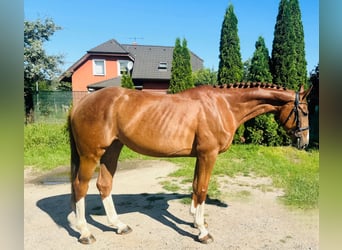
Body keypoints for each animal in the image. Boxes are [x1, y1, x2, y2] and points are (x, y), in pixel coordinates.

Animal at [68, 83, 312, 243]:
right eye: (305, 111)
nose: (305, 142)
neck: (223, 105)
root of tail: (81, 103)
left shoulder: (200, 156)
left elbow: (195, 187)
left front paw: (195, 220)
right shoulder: (208, 154)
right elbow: (202, 188)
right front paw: (203, 232)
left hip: (112, 150)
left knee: (104, 185)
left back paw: (119, 226)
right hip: (91, 155)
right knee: (81, 186)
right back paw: (85, 233)